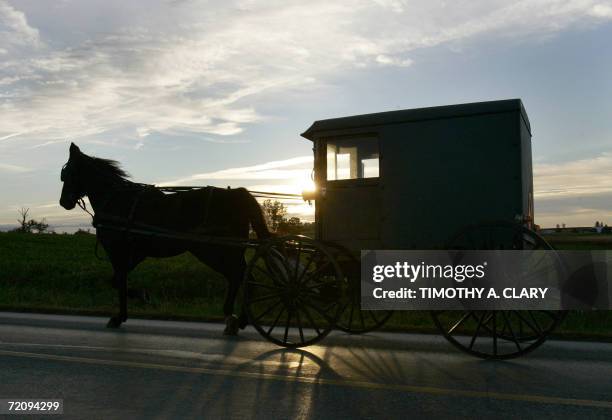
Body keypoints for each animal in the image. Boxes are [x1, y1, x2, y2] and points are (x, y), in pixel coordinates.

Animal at [59, 144, 270, 334]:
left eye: (68, 172)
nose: (63, 202)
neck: (117, 200)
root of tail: (237, 193)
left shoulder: (117, 251)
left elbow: (118, 281)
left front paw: (132, 305)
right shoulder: (134, 254)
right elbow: (119, 281)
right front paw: (128, 309)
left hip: (215, 250)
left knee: (238, 276)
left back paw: (232, 318)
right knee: (244, 277)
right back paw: (240, 320)